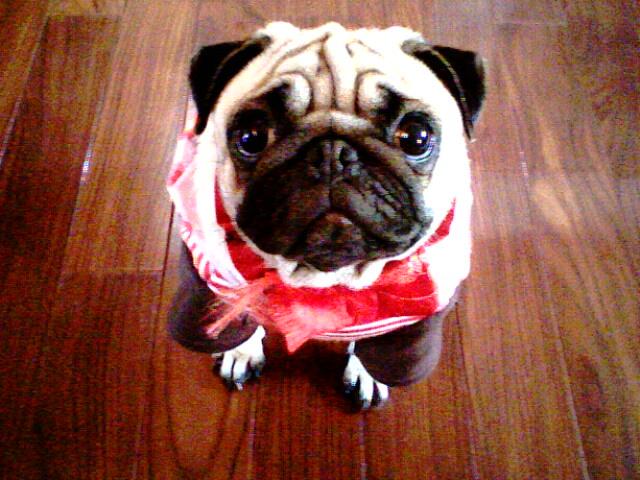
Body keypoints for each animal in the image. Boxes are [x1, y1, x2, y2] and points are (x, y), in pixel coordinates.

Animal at [167, 22, 485, 410]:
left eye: (416, 137)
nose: (333, 154)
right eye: (251, 136)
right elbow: (233, 318)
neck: (323, 277)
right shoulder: (208, 286)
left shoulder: (410, 323)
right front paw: (239, 350)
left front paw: (367, 373)